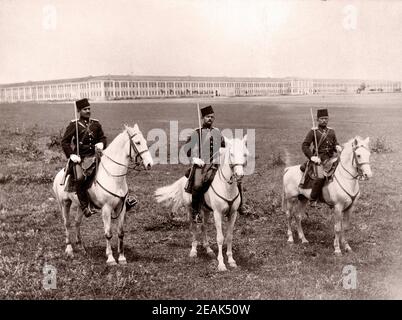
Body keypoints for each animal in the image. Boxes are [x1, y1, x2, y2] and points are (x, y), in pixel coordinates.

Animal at [52, 124, 153, 264]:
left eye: (144, 141)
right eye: (137, 142)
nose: (149, 164)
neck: (114, 176)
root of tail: (59, 175)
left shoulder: (121, 208)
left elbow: (121, 232)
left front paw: (122, 257)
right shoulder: (106, 209)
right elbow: (108, 233)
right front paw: (110, 258)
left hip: (80, 205)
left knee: (77, 222)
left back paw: (81, 247)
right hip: (64, 203)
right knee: (67, 223)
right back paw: (69, 250)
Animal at [154, 136, 248, 272]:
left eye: (245, 154)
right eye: (231, 154)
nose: (239, 175)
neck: (226, 187)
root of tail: (184, 179)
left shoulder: (233, 213)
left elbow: (229, 236)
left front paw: (231, 260)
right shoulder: (217, 213)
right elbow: (220, 238)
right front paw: (221, 263)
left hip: (206, 210)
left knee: (203, 227)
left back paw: (208, 249)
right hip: (190, 209)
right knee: (193, 228)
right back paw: (193, 251)